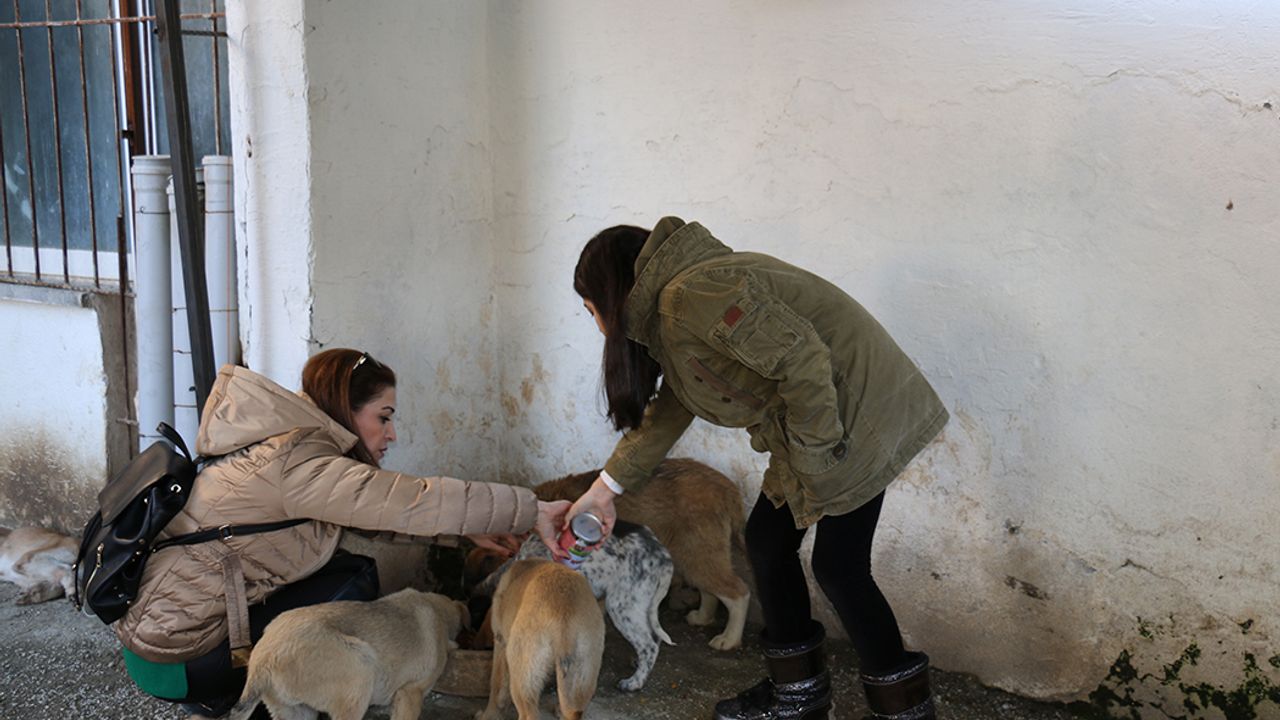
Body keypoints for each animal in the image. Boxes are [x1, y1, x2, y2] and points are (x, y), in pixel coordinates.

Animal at [476, 520, 674, 691]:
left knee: (649, 645)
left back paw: (634, 682)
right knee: (654, 637)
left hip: (623, 605)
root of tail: (663, 557)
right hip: (642, 604)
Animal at [477, 559, 604, 720]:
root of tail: (564, 610)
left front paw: (488, 715)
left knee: (529, 714)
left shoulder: (500, 644)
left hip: (522, 674)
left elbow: (496, 686)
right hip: (583, 675)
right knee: (574, 711)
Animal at [534, 458, 751, 650]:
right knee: (710, 590)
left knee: (739, 593)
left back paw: (729, 639)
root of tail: (726, 487)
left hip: (696, 556)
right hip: (694, 557)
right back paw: (702, 617)